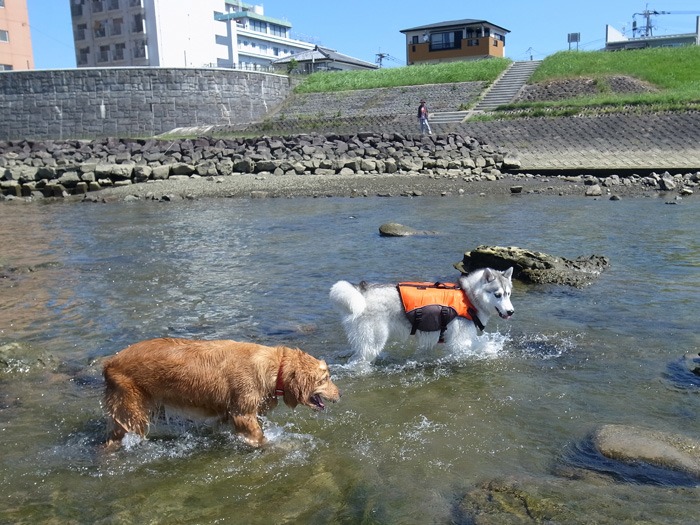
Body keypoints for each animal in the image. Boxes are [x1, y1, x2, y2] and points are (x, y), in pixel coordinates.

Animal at [328, 268, 516, 362]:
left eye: (508, 294)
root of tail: (361, 291)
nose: (511, 312)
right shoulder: (459, 342)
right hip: (373, 341)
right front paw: (491, 348)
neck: (469, 297)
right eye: (497, 295)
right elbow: (479, 345)